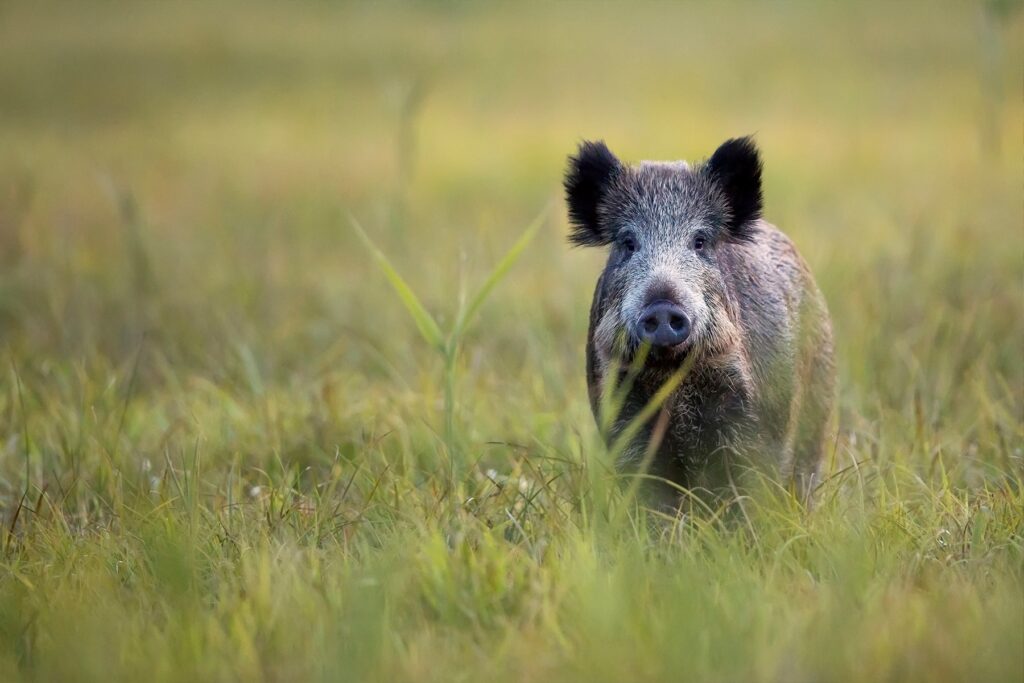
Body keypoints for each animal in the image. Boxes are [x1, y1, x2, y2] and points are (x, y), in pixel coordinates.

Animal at [565, 137, 836, 505]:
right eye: (628, 242)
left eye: (700, 241)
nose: (663, 306)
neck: (673, 378)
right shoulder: (623, 411)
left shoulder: (751, 416)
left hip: (818, 402)